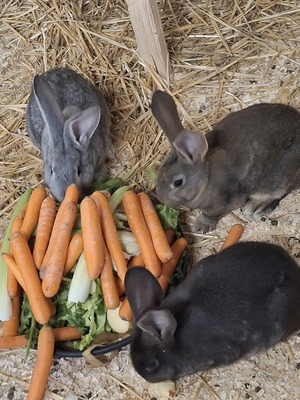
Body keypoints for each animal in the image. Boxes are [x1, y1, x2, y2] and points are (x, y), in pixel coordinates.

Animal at [151, 91, 300, 231]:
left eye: (178, 183)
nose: (163, 199)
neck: (206, 178)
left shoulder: (223, 202)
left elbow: (211, 215)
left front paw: (200, 226)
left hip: (280, 178)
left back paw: (256, 207)